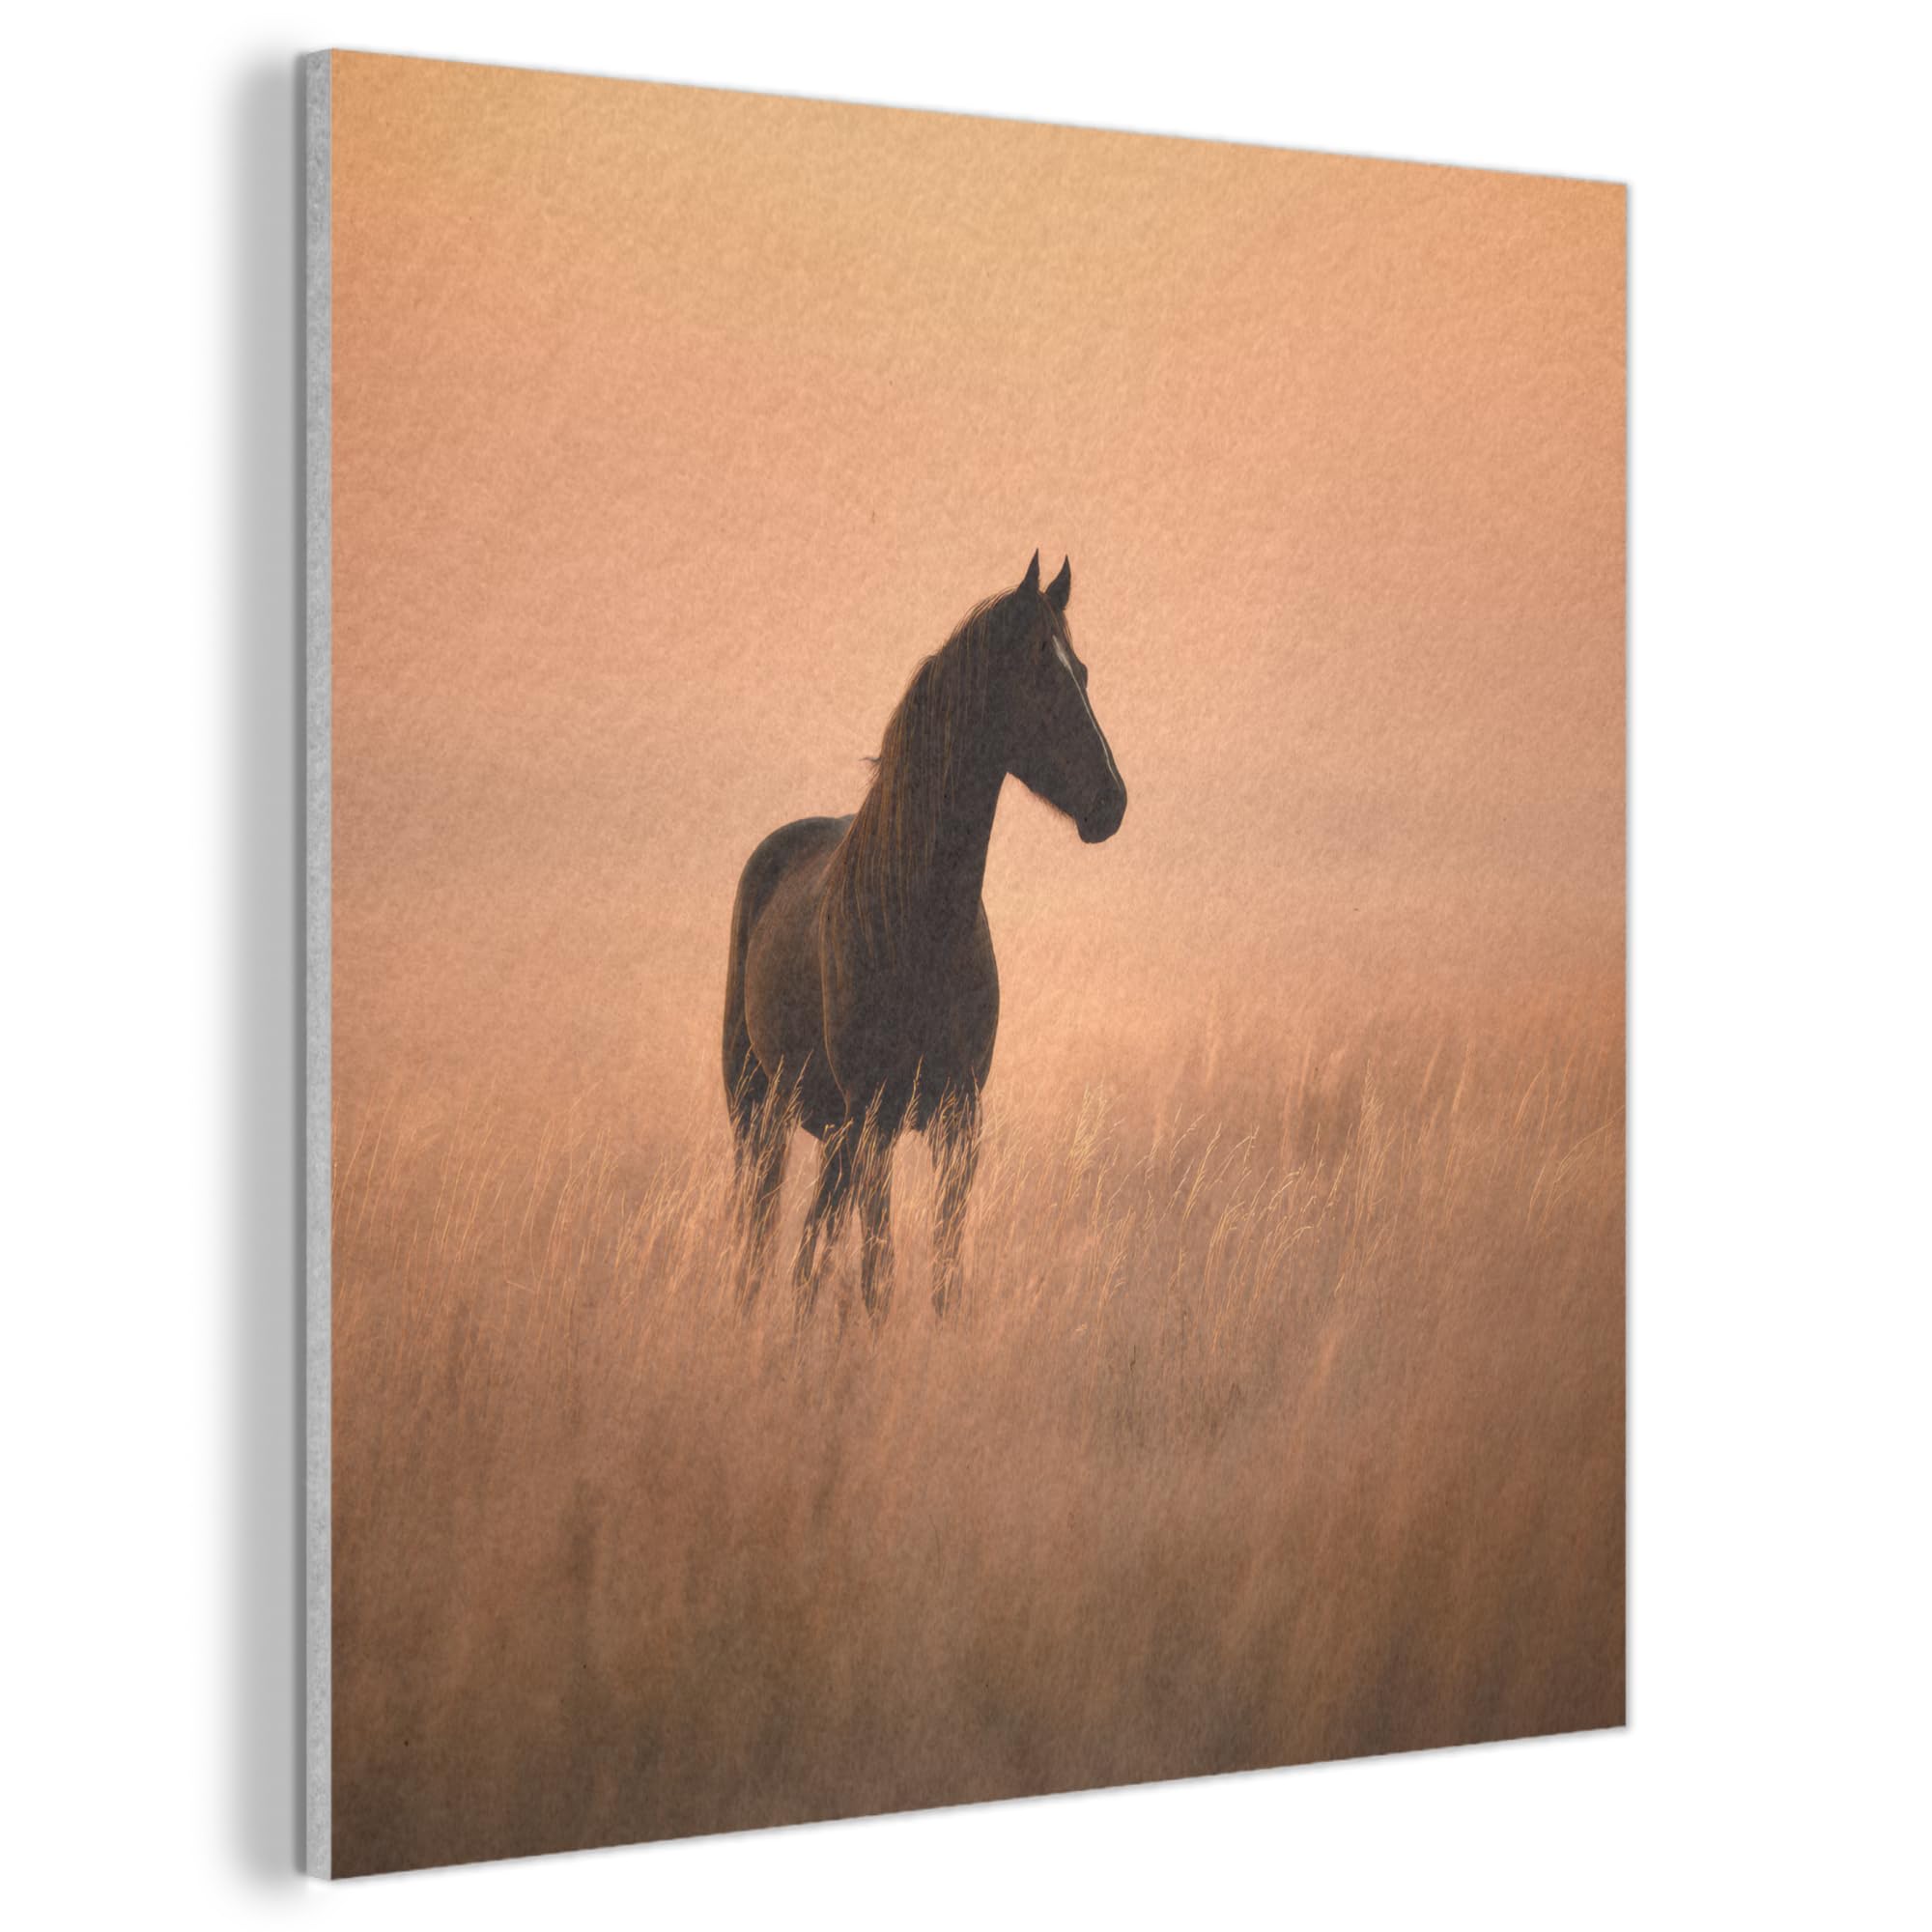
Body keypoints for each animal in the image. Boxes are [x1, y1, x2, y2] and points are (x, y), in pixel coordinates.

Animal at [720, 550, 1127, 1323]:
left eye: (1083, 672)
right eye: (1040, 671)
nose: (1112, 802)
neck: (920, 927)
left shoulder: (957, 1122)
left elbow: (942, 1270)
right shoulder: (875, 1123)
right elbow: (878, 1274)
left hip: (834, 1132)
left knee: (810, 1250)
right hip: (761, 1111)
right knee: (760, 1236)